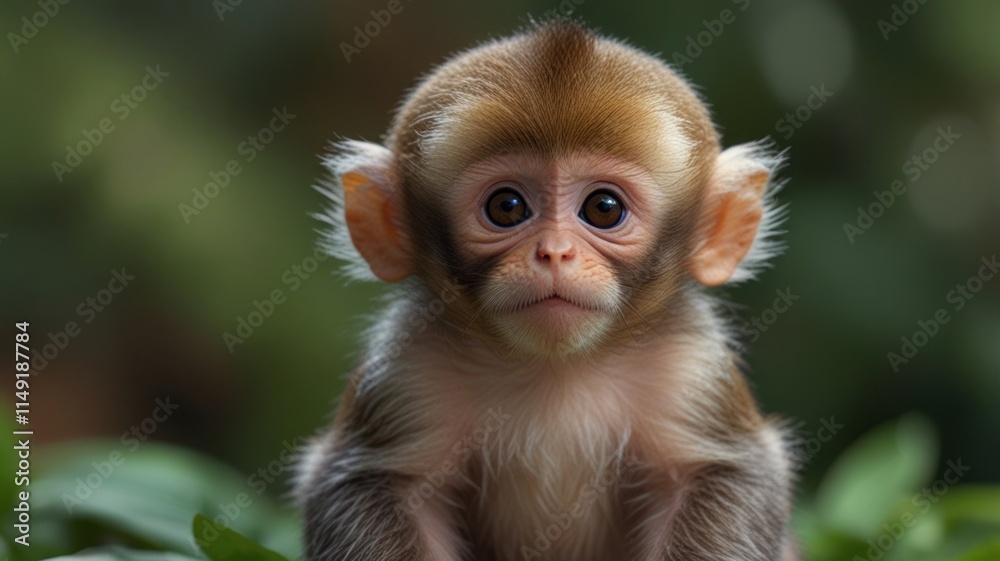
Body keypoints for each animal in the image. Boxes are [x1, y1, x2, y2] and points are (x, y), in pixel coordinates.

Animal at [295, 19, 796, 561]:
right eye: (507, 206)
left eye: (603, 208)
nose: (554, 253)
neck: (556, 368)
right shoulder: (407, 370)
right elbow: (366, 483)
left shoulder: (691, 367)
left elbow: (730, 474)